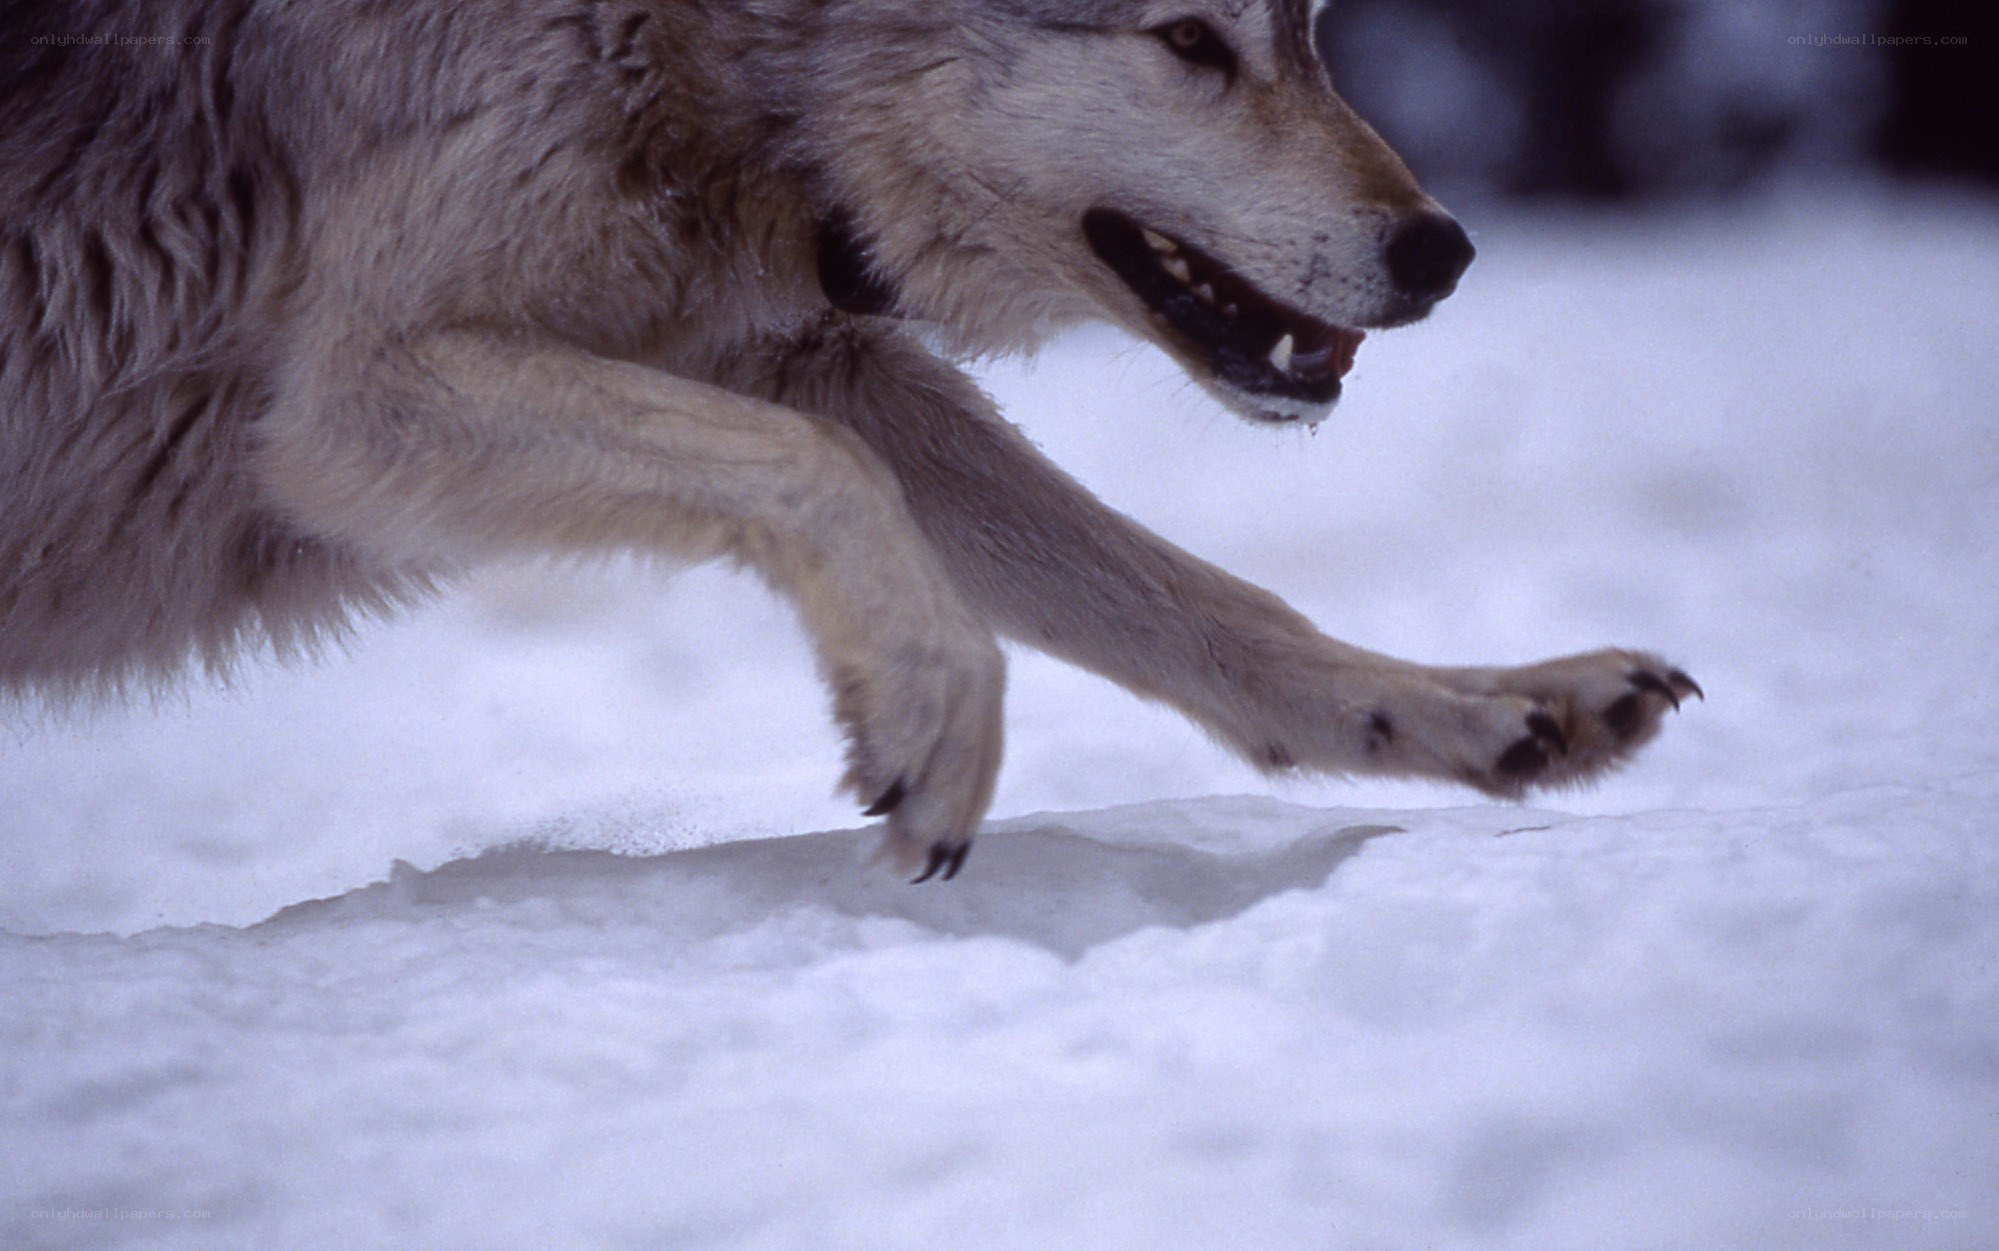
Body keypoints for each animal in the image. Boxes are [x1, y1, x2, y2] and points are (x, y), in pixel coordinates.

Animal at [1, 0, 1697, 880]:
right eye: (1187, 38)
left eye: (1307, 29)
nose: (1443, 252)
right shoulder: (354, 400)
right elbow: (824, 478)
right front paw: (931, 720)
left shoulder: (793, 350)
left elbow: (1209, 603)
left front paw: (1482, 708)